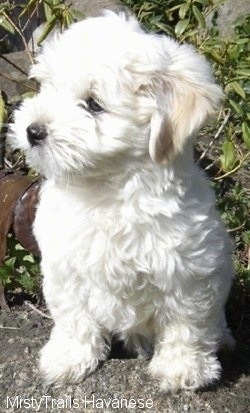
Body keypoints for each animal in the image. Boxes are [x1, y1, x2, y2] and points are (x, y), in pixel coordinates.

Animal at [9, 10, 234, 390]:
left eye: (93, 105)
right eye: (47, 87)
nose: (33, 130)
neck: (107, 190)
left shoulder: (190, 271)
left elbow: (186, 323)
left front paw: (182, 369)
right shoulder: (64, 268)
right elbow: (73, 317)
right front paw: (68, 358)